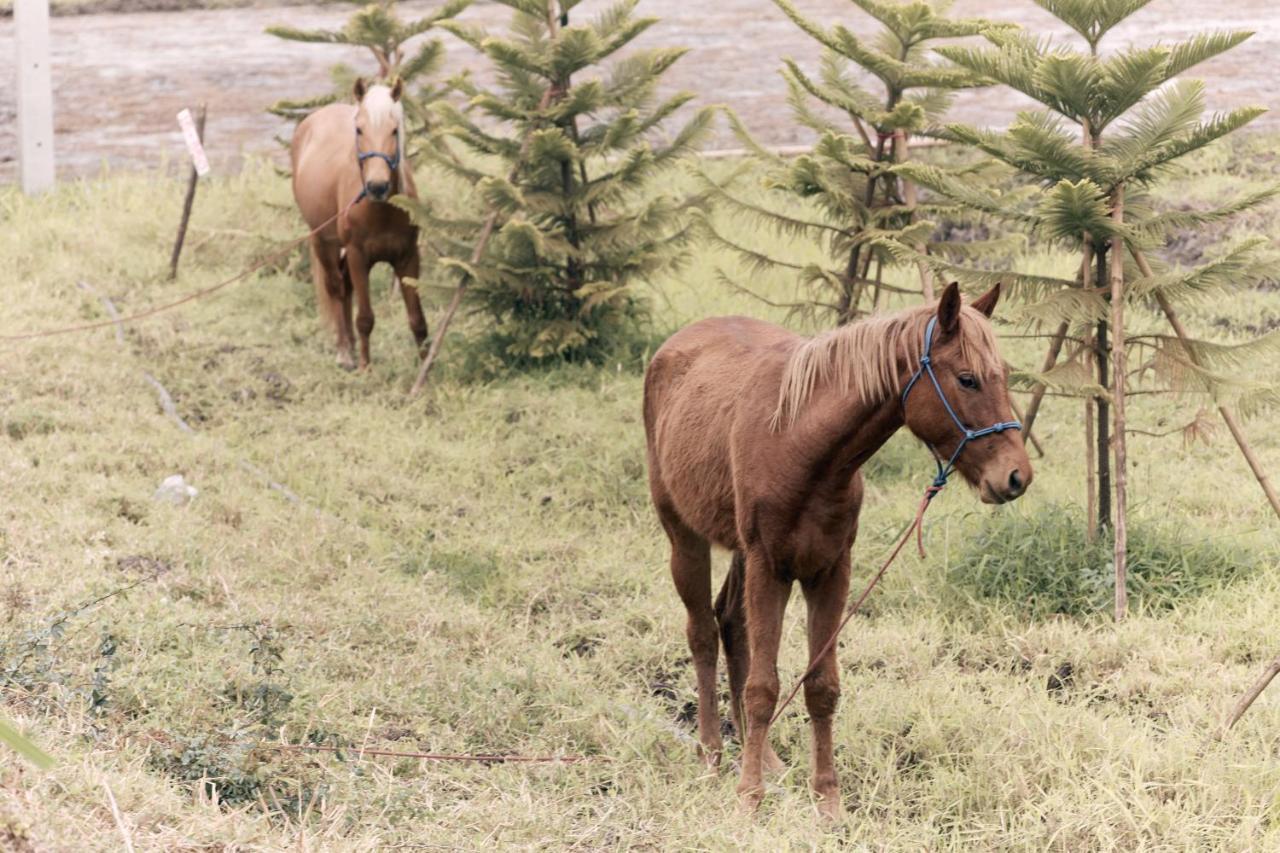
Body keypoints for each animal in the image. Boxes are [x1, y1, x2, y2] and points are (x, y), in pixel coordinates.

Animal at [291, 79, 427, 368]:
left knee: (345, 285)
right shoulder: (358, 255)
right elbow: (365, 318)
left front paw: (426, 365)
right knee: (335, 286)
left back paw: (351, 347)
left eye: (394, 130)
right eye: (359, 129)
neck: (380, 210)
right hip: (322, 241)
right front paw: (366, 367)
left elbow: (418, 320)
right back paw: (345, 353)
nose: (377, 186)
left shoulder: (408, 257)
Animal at [645, 281, 1034, 814]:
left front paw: (826, 797)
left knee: (729, 624)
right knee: (703, 632)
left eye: (1005, 376)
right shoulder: (771, 568)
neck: (800, 443)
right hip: (683, 535)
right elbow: (764, 687)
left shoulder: (830, 571)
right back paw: (711, 753)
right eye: (968, 379)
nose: (1016, 477)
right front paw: (749, 797)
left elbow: (821, 686)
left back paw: (762, 756)